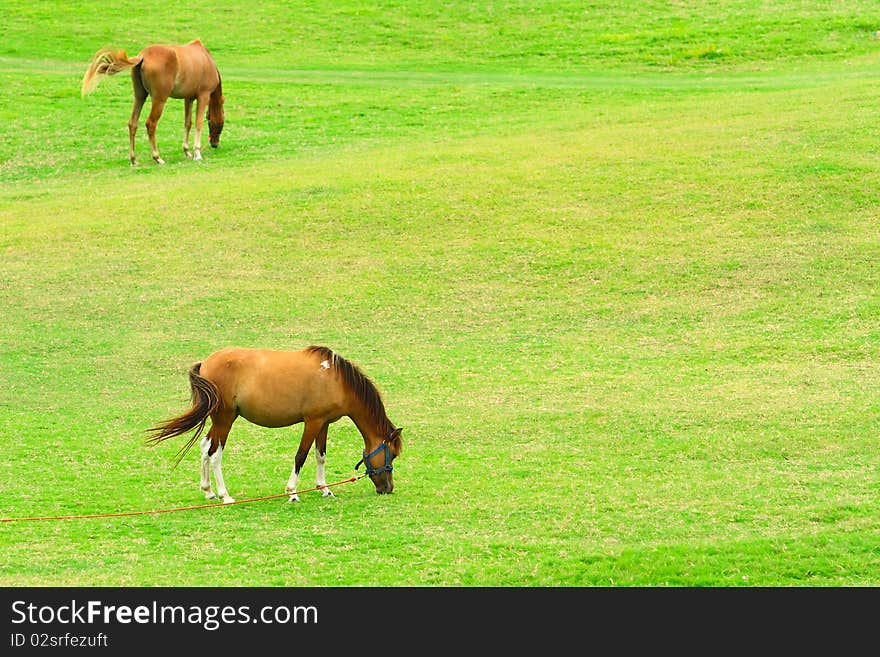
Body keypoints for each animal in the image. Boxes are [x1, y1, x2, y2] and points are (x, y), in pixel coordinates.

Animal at [147, 346, 402, 504]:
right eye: (392, 453)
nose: (388, 488)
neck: (335, 379)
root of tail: (206, 363)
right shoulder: (312, 422)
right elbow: (301, 456)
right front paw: (292, 492)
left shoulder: (324, 424)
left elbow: (320, 456)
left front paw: (324, 488)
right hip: (225, 419)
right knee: (215, 453)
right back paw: (225, 495)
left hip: (219, 420)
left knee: (205, 447)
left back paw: (208, 491)